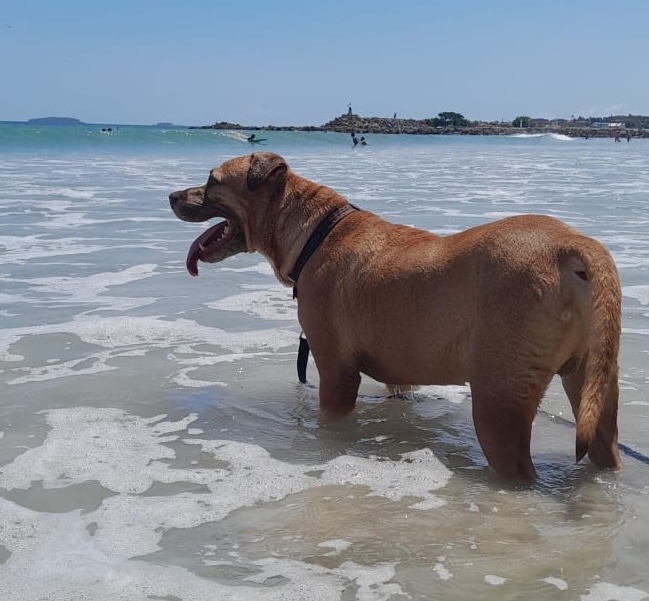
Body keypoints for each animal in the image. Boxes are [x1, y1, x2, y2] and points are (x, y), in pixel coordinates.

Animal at [170, 152, 620, 480]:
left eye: (212, 180)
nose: (172, 195)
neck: (315, 232)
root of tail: (572, 245)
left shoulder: (336, 373)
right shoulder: (397, 376)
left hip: (499, 401)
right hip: (593, 384)